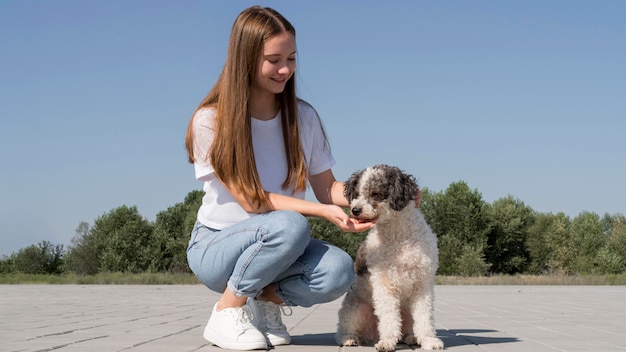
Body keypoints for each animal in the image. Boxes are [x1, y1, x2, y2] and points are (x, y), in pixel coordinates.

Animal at [334, 166, 442, 352]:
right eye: (357, 193)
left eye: (376, 194)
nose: (355, 210)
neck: (399, 236)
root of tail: (372, 334)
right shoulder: (384, 285)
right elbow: (389, 317)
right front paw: (387, 342)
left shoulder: (423, 284)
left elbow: (425, 316)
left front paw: (429, 340)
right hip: (355, 308)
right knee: (343, 329)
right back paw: (350, 339)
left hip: (406, 311)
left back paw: (412, 338)